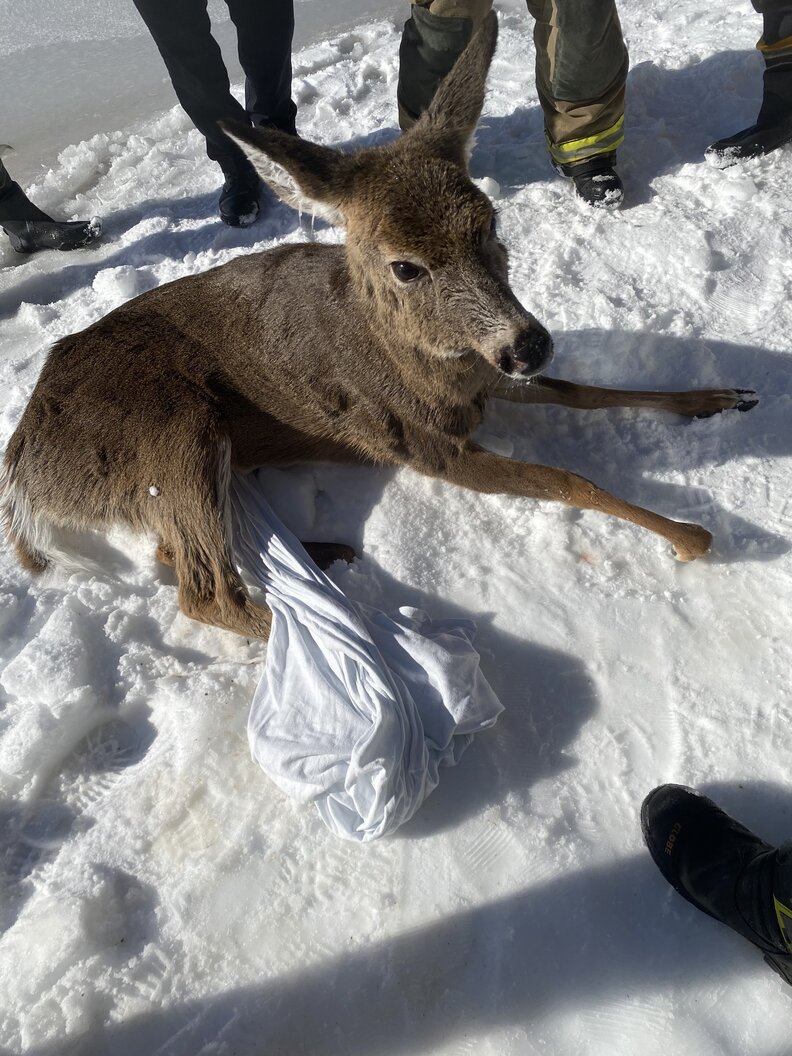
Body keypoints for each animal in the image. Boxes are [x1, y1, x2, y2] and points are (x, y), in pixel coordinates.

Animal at [1, 12, 756, 642]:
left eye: (489, 222)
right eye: (404, 266)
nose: (530, 343)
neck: (428, 367)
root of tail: (25, 471)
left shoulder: (485, 377)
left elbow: (585, 391)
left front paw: (720, 397)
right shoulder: (421, 444)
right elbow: (570, 480)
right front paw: (691, 536)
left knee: (174, 557)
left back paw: (329, 558)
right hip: (170, 433)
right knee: (205, 593)